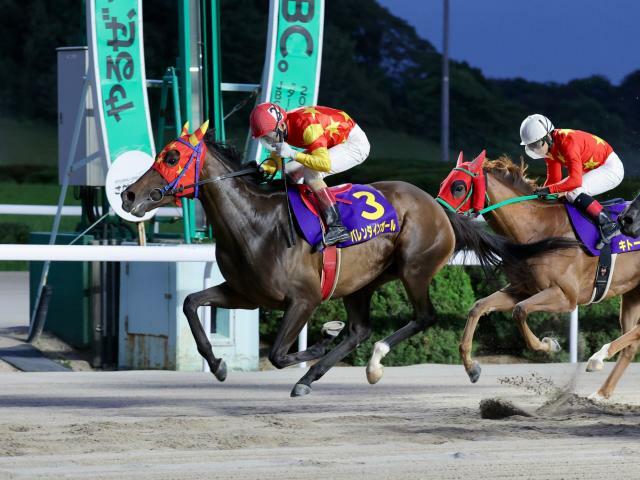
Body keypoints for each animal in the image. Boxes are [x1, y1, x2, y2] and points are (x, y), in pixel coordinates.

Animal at [122, 124, 572, 398]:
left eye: (171, 156)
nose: (128, 195)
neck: (255, 222)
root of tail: (441, 208)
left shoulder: (303, 299)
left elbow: (279, 354)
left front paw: (321, 338)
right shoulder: (245, 294)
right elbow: (190, 303)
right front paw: (216, 364)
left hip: (413, 268)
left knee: (422, 317)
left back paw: (364, 364)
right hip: (361, 283)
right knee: (359, 330)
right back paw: (317, 372)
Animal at [438, 153, 640, 398]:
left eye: (458, 186)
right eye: (443, 183)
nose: (437, 215)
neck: (539, 230)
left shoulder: (565, 297)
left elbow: (519, 311)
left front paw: (549, 344)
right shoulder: (521, 289)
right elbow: (479, 307)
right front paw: (472, 368)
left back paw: (597, 358)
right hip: (631, 293)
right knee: (631, 345)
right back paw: (601, 392)